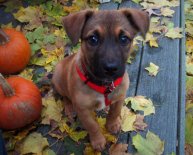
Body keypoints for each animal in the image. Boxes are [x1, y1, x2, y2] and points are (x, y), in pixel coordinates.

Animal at [52, 8, 149, 151]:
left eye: (124, 39)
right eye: (93, 39)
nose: (110, 68)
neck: (104, 85)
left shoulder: (119, 97)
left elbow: (115, 112)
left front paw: (112, 124)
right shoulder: (83, 110)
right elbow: (93, 126)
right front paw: (98, 141)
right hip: (59, 81)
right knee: (65, 97)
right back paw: (69, 108)